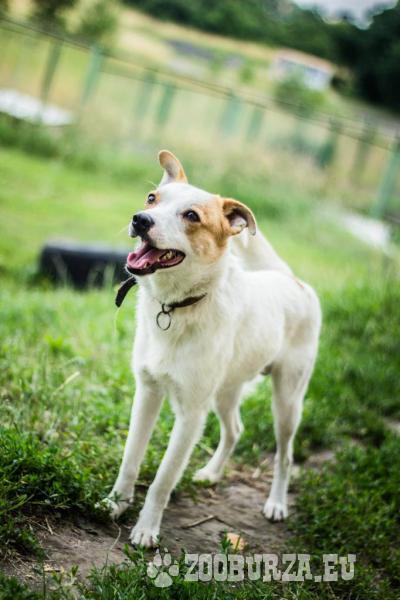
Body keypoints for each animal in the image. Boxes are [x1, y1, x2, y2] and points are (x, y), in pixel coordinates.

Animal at [102, 150, 321, 548]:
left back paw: (277, 504)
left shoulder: (190, 416)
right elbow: (130, 458)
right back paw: (212, 473)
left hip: (287, 401)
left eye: (191, 216)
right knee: (235, 429)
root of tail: (292, 280)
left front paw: (146, 529)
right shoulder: (147, 392)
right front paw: (115, 503)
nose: (140, 219)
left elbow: (163, 479)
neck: (178, 306)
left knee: (285, 456)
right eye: (152, 199)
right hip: (225, 391)